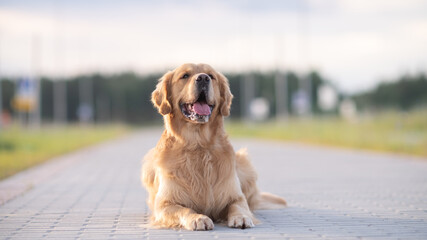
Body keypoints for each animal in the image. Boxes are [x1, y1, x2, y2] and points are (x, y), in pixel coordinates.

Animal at [141, 62, 288, 230]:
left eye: (211, 76)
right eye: (185, 75)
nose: (203, 78)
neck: (198, 145)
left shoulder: (235, 195)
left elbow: (238, 205)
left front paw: (242, 217)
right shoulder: (165, 204)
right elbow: (185, 210)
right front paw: (198, 218)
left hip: (245, 164)